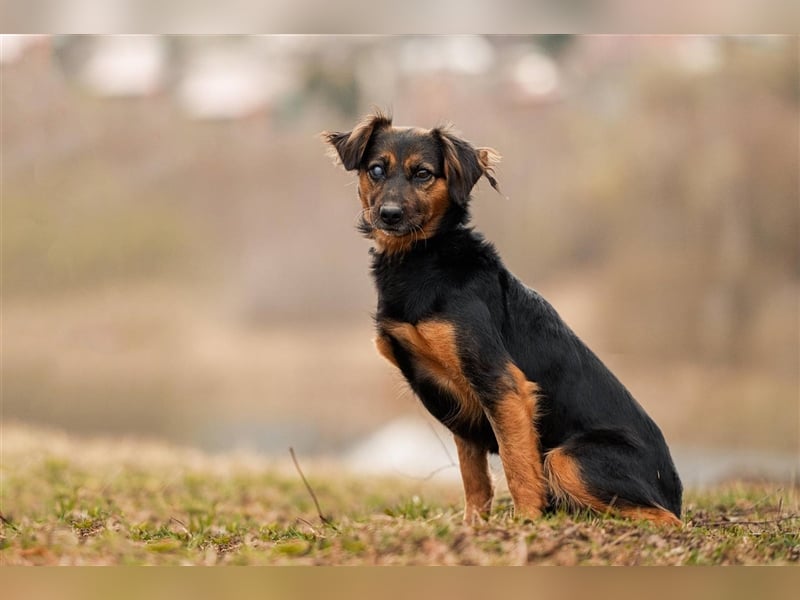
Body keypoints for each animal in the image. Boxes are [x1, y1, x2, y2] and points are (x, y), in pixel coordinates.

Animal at [324, 110, 680, 524]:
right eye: (377, 170)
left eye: (423, 174)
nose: (389, 215)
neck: (423, 258)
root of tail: (675, 489)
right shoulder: (457, 405)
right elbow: (474, 477)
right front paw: (474, 525)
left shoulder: (500, 383)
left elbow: (516, 464)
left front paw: (526, 520)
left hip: (568, 458)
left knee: (663, 518)